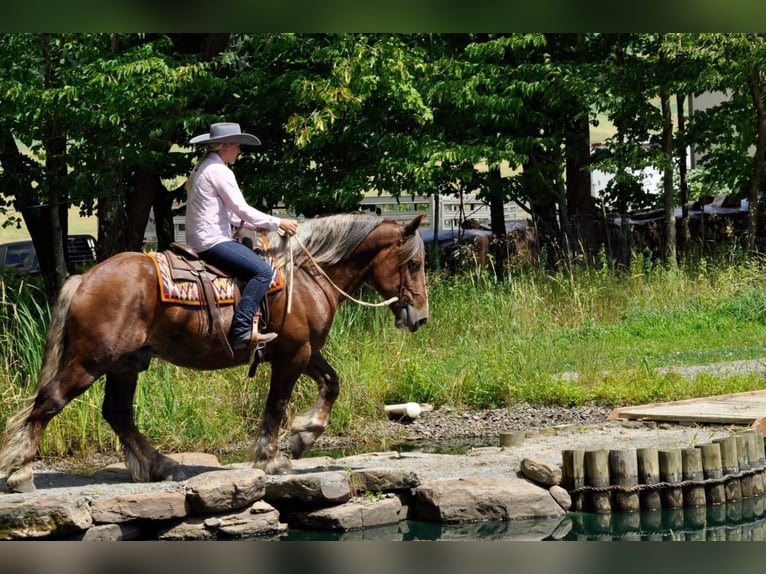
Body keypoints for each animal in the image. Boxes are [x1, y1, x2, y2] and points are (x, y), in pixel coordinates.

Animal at [0, 214, 432, 492]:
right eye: (413, 262)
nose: (421, 317)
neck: (307, 274)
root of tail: (84, 278)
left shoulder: (304, 350)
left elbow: (332, 383)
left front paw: (303, 436)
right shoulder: (292, 354)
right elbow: (277, 403)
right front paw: (273, 457)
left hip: (126, 364)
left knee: (117, 413)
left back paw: (160, 464)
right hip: (92, 361)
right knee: (50, 400)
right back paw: (21, 475)